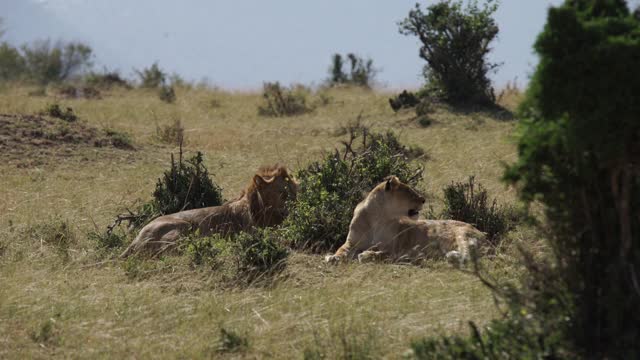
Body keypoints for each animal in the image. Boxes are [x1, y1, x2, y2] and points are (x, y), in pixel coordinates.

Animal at [324, 176, 484, 264]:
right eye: (409, 191)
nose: (424, 200)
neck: (378, 218)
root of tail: (483, 234)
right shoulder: (351, 242)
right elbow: (341, 250)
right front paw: (332, 258)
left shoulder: (394, 247)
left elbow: (382, 254)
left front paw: (367, 254)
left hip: (462, 234)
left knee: (469, 255)